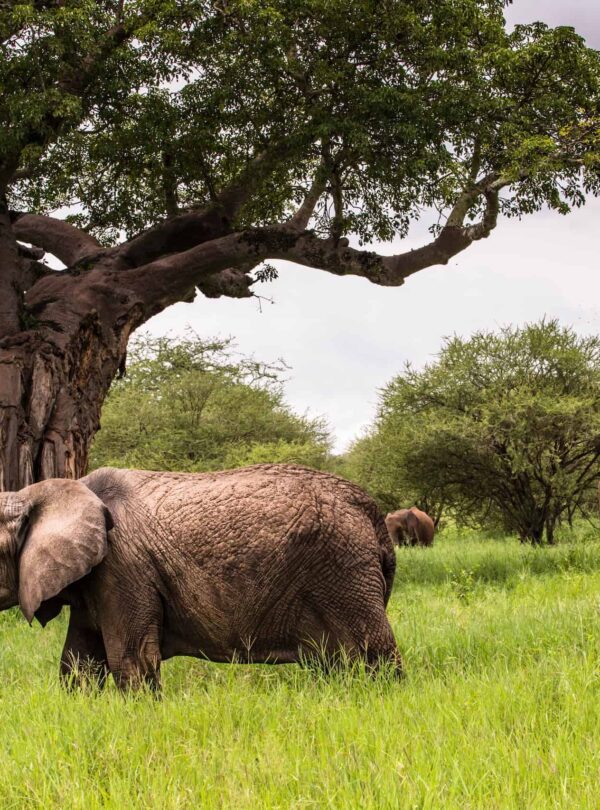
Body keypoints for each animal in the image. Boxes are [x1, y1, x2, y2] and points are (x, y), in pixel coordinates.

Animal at [0, 464, 402, 691]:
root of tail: (371, 511)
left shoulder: (123, 567)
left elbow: (131, 661)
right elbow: (78, 665)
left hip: (345, 571)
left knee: (376, 655)